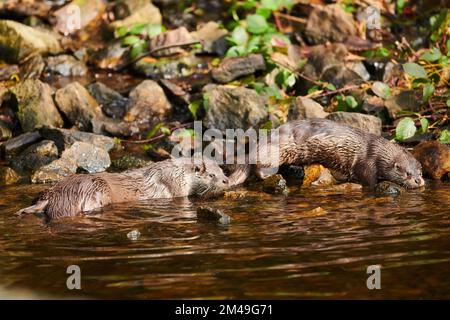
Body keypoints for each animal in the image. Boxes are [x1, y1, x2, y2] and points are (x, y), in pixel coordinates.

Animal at [232, 118, 426, 189]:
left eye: (420, 172)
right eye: (407, 174)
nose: (419, 181)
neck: (375, 149)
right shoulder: (366, 162)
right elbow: (368, 179)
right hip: (273, 153)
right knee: (259, 166)